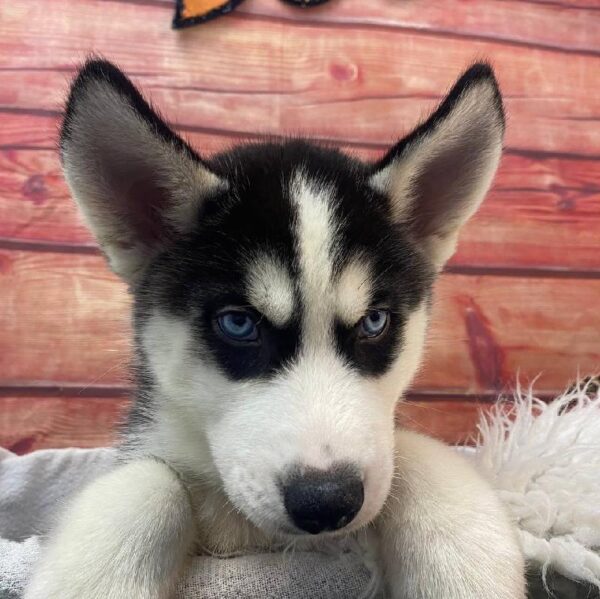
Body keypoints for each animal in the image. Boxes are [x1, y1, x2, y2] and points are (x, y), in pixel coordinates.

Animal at [25, 61, 524, 599]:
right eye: (239, 323)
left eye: (374, 321)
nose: (327, 502)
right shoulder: (150, 446)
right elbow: (148, 481)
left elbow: (410, 450)